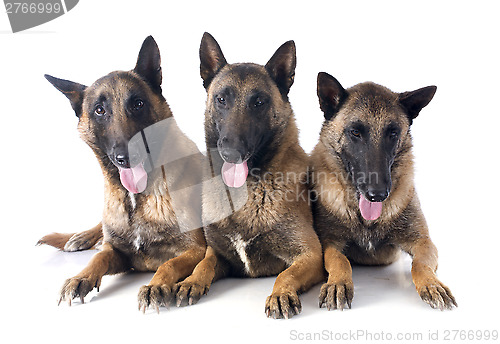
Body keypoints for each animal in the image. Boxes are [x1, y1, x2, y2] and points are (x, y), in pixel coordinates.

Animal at [40, 37, 205, 312]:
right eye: (99, 110)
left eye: (138, 104)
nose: (126, 157)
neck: (136, 198)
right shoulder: (116, 251)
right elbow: (98, 259)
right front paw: (80, 277)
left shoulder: (196, 248)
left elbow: (167, 263)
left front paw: (155, 286)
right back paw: (81, 237)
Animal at [175, 33, 324, 320]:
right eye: (221, 99)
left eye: (259, 102)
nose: (231, 153)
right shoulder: (218, 254)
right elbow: (203, 265)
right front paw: (190, 281)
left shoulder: (311, 254)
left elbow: (285, 275)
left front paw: (280, 294)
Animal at [312, 72, 458, 312]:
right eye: (355, 132)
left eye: (393, 133)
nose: (377, 194)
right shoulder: (330, 243)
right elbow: (339, 261)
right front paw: (338, 283)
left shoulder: (424, 242)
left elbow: (420, 264)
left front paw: (432, 284)